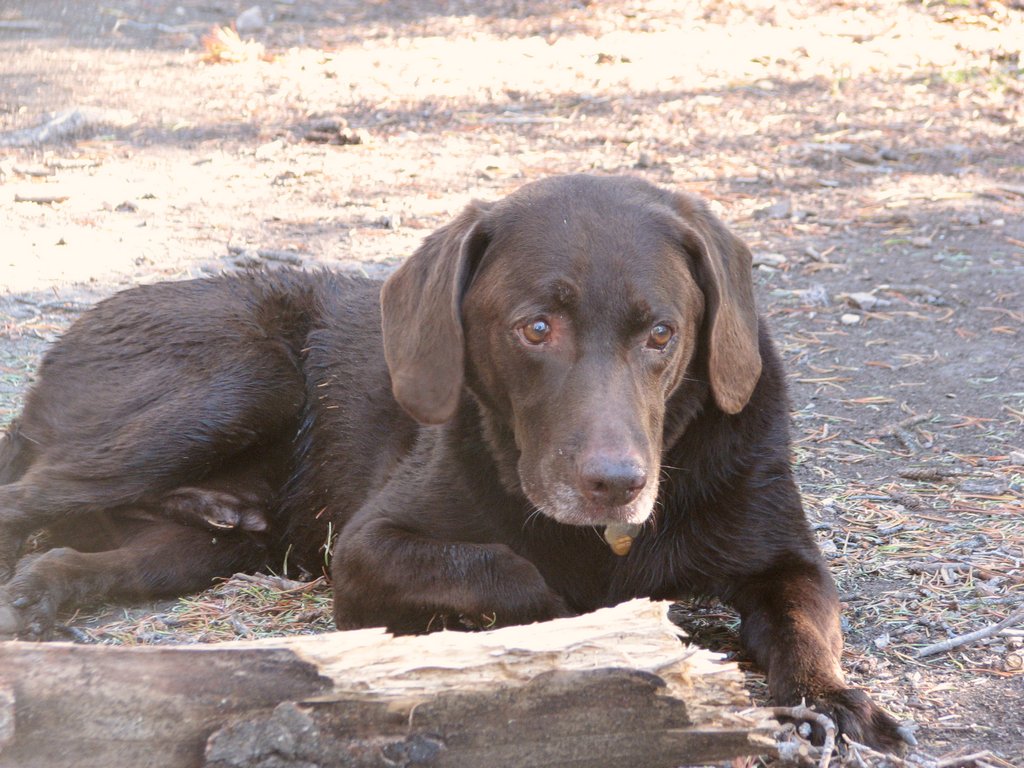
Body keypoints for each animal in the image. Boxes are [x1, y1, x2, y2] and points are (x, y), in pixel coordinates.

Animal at [0, 176, 905, 753]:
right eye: (535, 328)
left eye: (662, 334)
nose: (615, 485)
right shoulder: (368, 548)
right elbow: (511, 571)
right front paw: (571, 627)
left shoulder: (785, 559)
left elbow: (807, 624)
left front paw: (831, 701)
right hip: (240, 376)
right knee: (26, 499)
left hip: (203, 540)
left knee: (86, 548)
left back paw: (67, 579)